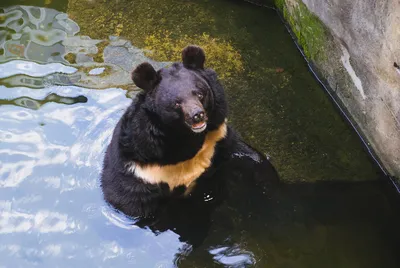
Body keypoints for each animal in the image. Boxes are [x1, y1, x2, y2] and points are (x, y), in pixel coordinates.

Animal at [100, 45, 280, 243]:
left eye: (200, 93)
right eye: (177, 103)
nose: (197, 115)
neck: (186, 139)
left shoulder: (217, 136)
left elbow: (247, 155)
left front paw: (270, 182)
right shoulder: (142, 168)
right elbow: (136, 203)